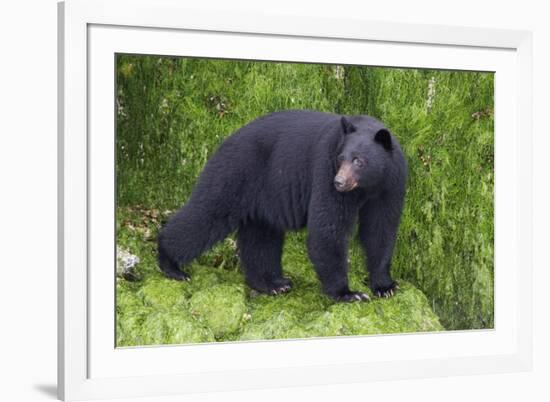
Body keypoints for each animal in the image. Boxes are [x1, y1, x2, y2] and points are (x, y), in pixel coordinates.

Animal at [157, 110, 408, 302]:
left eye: (358, 161)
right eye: (340, 158)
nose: (339, 182)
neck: (368, 186)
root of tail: (227, 139)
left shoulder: (391, 185)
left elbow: (381, 229)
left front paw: (385, 286)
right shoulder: (324, 171)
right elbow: (327, 228)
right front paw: (348, 293)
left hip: (262, 196)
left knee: (261, 238)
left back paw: (272, 283)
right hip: (234, 173)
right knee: (206, 216)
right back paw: (170, 264)